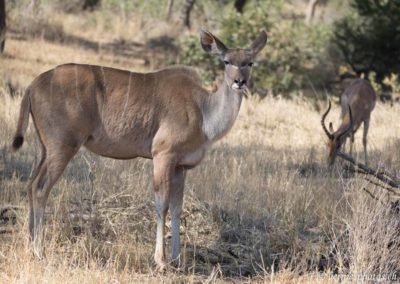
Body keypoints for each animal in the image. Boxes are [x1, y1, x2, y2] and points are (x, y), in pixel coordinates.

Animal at [10, 29, 268, 270]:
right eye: (226, 61)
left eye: (250, 62)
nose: (239, 82)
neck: (203, 111)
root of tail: (32, 86)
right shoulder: (163, 155)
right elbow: (162, 205)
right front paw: (161, 261)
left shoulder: (181, 166)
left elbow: (177, 208)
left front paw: (177, 260)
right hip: (63, 146)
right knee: (41, 188)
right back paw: (40, 251)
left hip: (47, 148)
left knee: (31, 185)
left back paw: (30, 245)